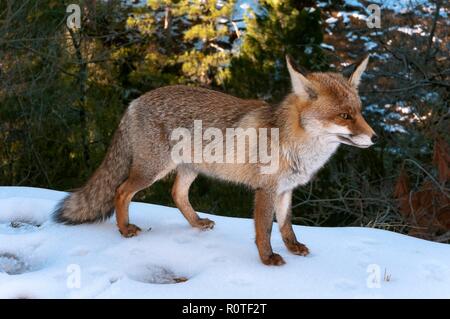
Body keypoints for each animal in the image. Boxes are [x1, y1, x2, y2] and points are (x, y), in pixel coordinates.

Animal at [52, 56, 376, 266]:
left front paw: (293, 247)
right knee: (121, 191)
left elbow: (285, 225)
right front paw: (267, 258)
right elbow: (264, 230)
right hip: (151, 171)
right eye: (344, 116)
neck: (293, 143)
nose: (374, 138)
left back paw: (196, 223)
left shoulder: (286, 189)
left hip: (188, 170)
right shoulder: (266, 190)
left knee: (176, 194)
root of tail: (134, 102)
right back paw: (125, 229)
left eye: (359, 111)